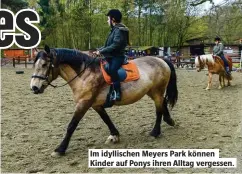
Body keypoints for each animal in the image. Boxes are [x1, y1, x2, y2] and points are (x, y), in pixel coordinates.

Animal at [29, 45, 178, 157]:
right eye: (34, 65)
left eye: (44, 64)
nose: (34, 87)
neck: (85, 74)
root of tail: (161, 60)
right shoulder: (95, 104)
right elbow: (106, 119)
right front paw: (115, 135)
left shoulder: (83, 104)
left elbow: (71, 126)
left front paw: (60, 149)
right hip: (152, 91)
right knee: (163, 104)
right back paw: (169, 121)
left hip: (157, 91)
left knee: (158, 110)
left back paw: (155, 132)